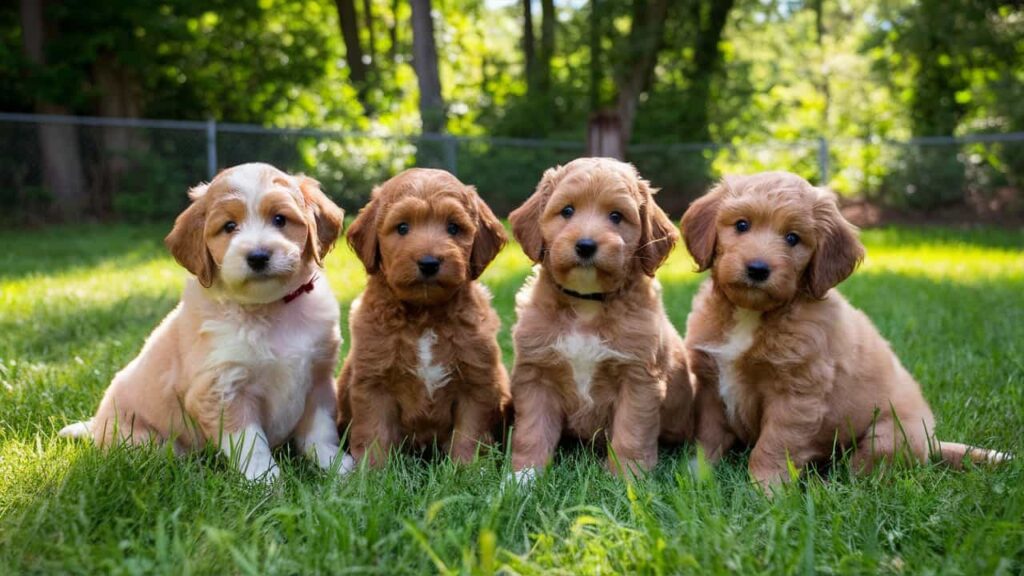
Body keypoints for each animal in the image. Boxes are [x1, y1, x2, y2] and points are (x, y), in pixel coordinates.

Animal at [58, 161, 352, 479]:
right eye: (229, 227)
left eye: (279, 219)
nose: (258, 256)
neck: (270, 309)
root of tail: (96, 427)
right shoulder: (221, 389)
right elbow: (251, 444)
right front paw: (266, 481)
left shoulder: (318, 376)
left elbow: (320, 431)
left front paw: (337, 466)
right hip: (144, 441)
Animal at [337, 168, 509, 463]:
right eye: (402, 227)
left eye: (453, 228)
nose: (429, 263)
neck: (425, 316)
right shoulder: (373, 383)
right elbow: (375, 434)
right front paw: (372, 471)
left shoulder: (477, 382)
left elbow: (469, 435)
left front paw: (466, 469)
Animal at [507, 154, 692, 477]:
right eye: (567, 210)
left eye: (616, 216)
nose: (585, 245)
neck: (586, 305)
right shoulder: (536, 374)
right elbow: (531, 431)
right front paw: (524, 476)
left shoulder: (638, 378)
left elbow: (631, 432)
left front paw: (627, 477)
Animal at [679, 170, 1007, 487]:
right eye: (742, 225)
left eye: (793, 238)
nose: (758, 269)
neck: (752, 314)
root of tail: (932, 443)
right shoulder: (709, 384)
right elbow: (707, 436)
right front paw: (696, 476)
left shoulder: (796, 395)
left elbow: (773, 445)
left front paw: (766, 489)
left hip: (888, 436)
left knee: (862, 472)